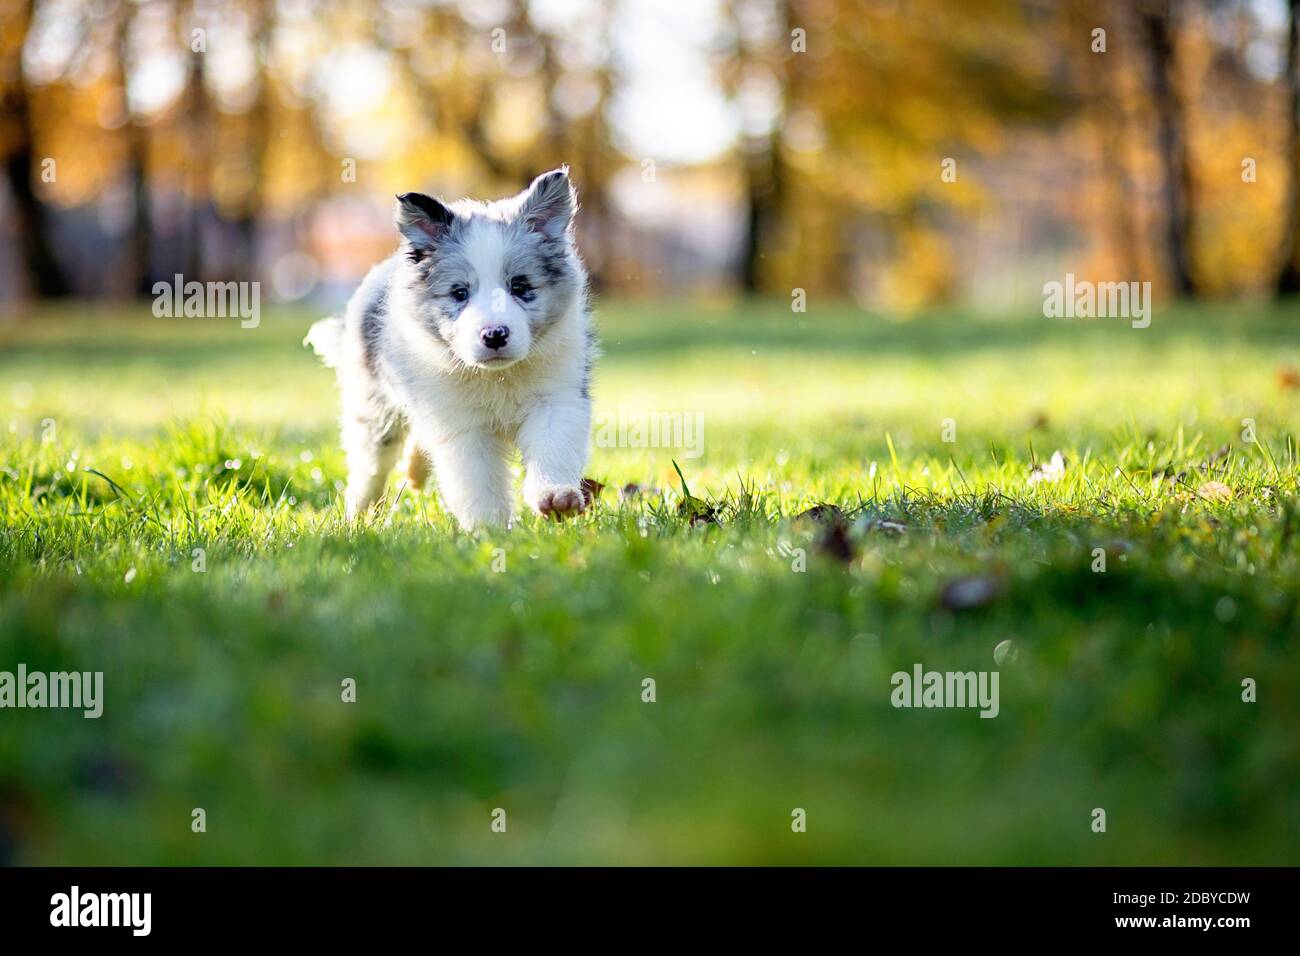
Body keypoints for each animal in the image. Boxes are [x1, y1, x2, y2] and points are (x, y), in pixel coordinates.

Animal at [304, 169, 595, 535]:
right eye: (459, 293)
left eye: (520, 287)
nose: (494, 335)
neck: (497, 378)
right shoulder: (460, 425)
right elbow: (477, 481)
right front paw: (491, 531)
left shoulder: (556, 399)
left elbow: (553, 446)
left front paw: (555, 497)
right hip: (374, 411)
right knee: (370, 468)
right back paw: (357, 515)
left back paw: (415, 472)